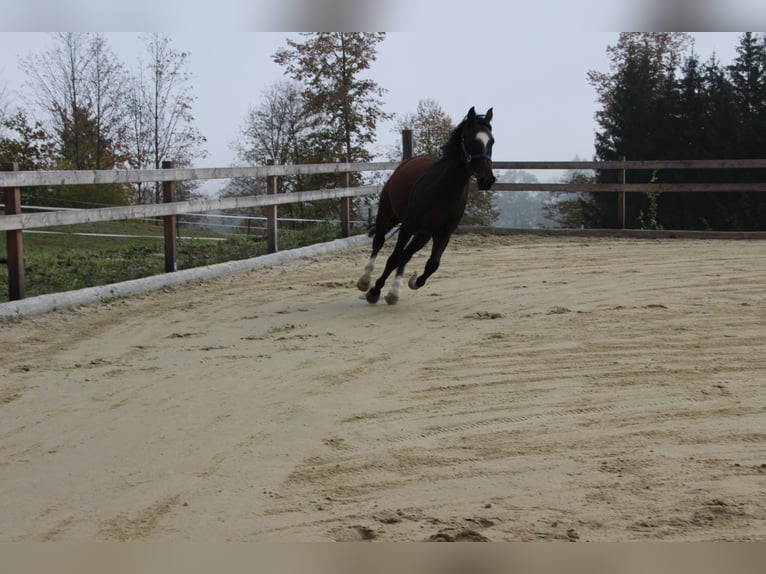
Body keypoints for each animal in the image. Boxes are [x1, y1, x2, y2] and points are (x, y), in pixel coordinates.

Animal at [358, 107, 498, 306]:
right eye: (472, 140)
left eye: (491, 141)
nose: (487, 179)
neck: (444, 190)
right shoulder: (408, 226)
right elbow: (393, 258)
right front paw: (374, 291)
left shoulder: (444, 232)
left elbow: (432, 264)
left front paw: (414, 281)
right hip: (386, 211)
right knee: (379, 242)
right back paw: (365, 281)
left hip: (423, 234)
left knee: (406, 255)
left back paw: (394, 292)